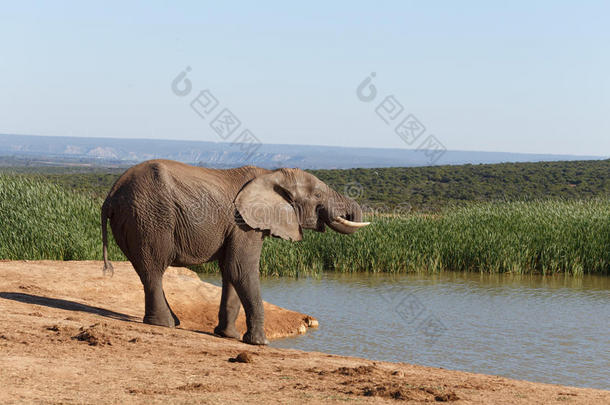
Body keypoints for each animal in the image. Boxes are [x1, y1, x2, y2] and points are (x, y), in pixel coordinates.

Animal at [101, 159, 366, 342]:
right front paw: (259, 343)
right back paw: (164, 324)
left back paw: (172, 322)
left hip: (135, 221)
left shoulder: (239, 226)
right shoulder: (244, 224)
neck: (271, 175)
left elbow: (230, 271)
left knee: (146, 271)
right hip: (150, 219)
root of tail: (110, 195)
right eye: (318, 194)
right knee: (154, 269)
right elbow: (241, 269)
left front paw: (229, 336)